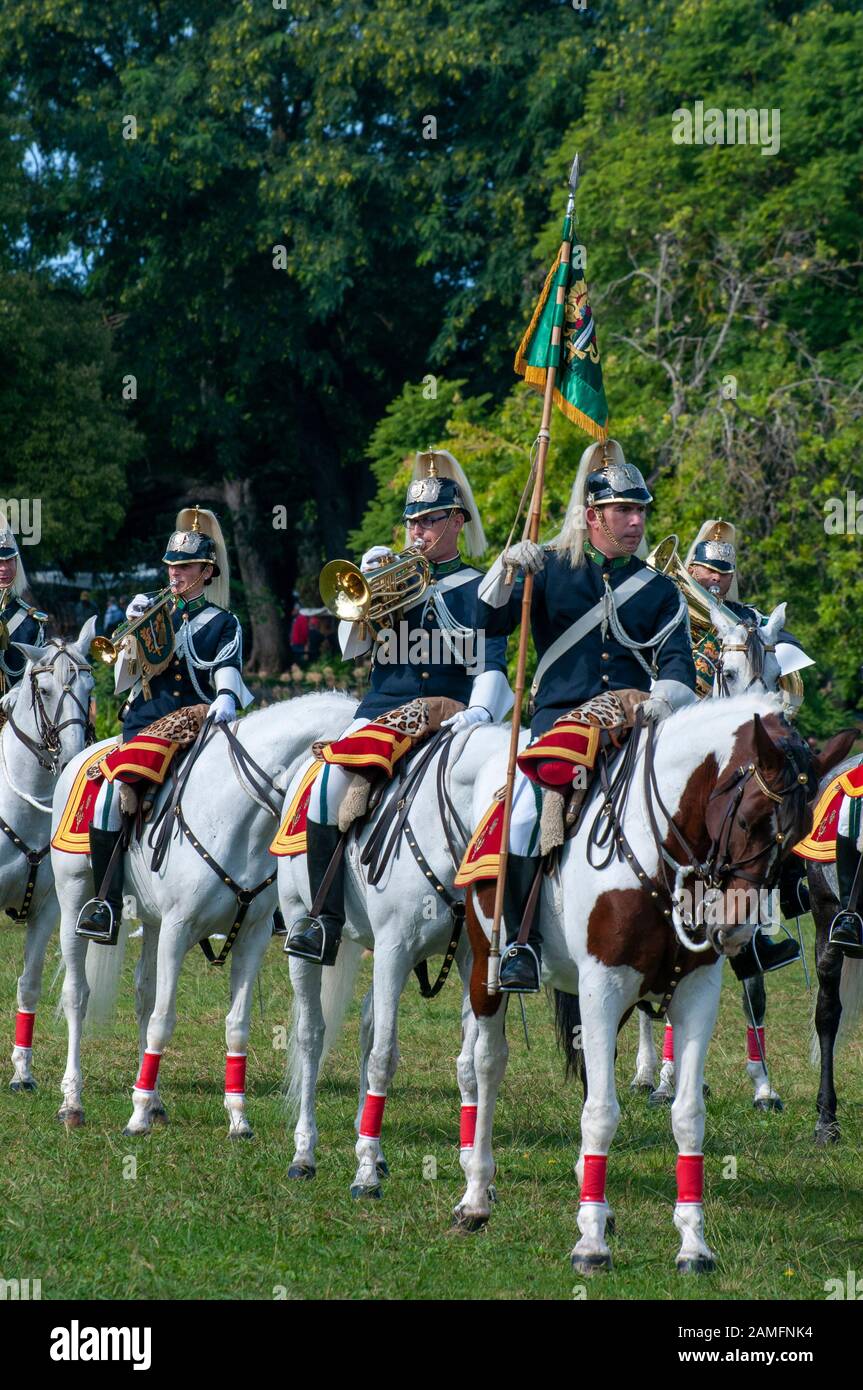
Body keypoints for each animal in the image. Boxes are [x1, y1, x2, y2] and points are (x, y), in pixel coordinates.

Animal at [50, 689, 355, 1134]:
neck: (237, 819)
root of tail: (85, 755)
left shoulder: (252, 937)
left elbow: (236, 1026)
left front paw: (238, 1118)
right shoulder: (179, 929)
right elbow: (163, 1020)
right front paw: (136, 1117)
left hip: (153, 923)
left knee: (143, 995)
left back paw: (154, 1099)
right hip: (74, 896)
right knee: (77, 995)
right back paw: (73, 1102)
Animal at [280, 728, 483, 1195]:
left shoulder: (466, 959)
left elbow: (467, 1065)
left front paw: (473, 1174)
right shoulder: (393, 951)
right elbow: (383, 1057)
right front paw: (365, 1176)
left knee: (369, 1023)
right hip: (304, 927)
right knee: (312, 1035)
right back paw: (304, 1155)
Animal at [453, 700, 844, 1273]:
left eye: (795, 840)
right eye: (749, 819)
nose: (734, 932)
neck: (659, 851)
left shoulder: (695, 994)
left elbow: (686, 1115)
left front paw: (692, 1244)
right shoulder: (603, 984)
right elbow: (601, 1113)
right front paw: (591, 1244)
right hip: (488, 965)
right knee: (488, 1063)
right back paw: (477, 1196)